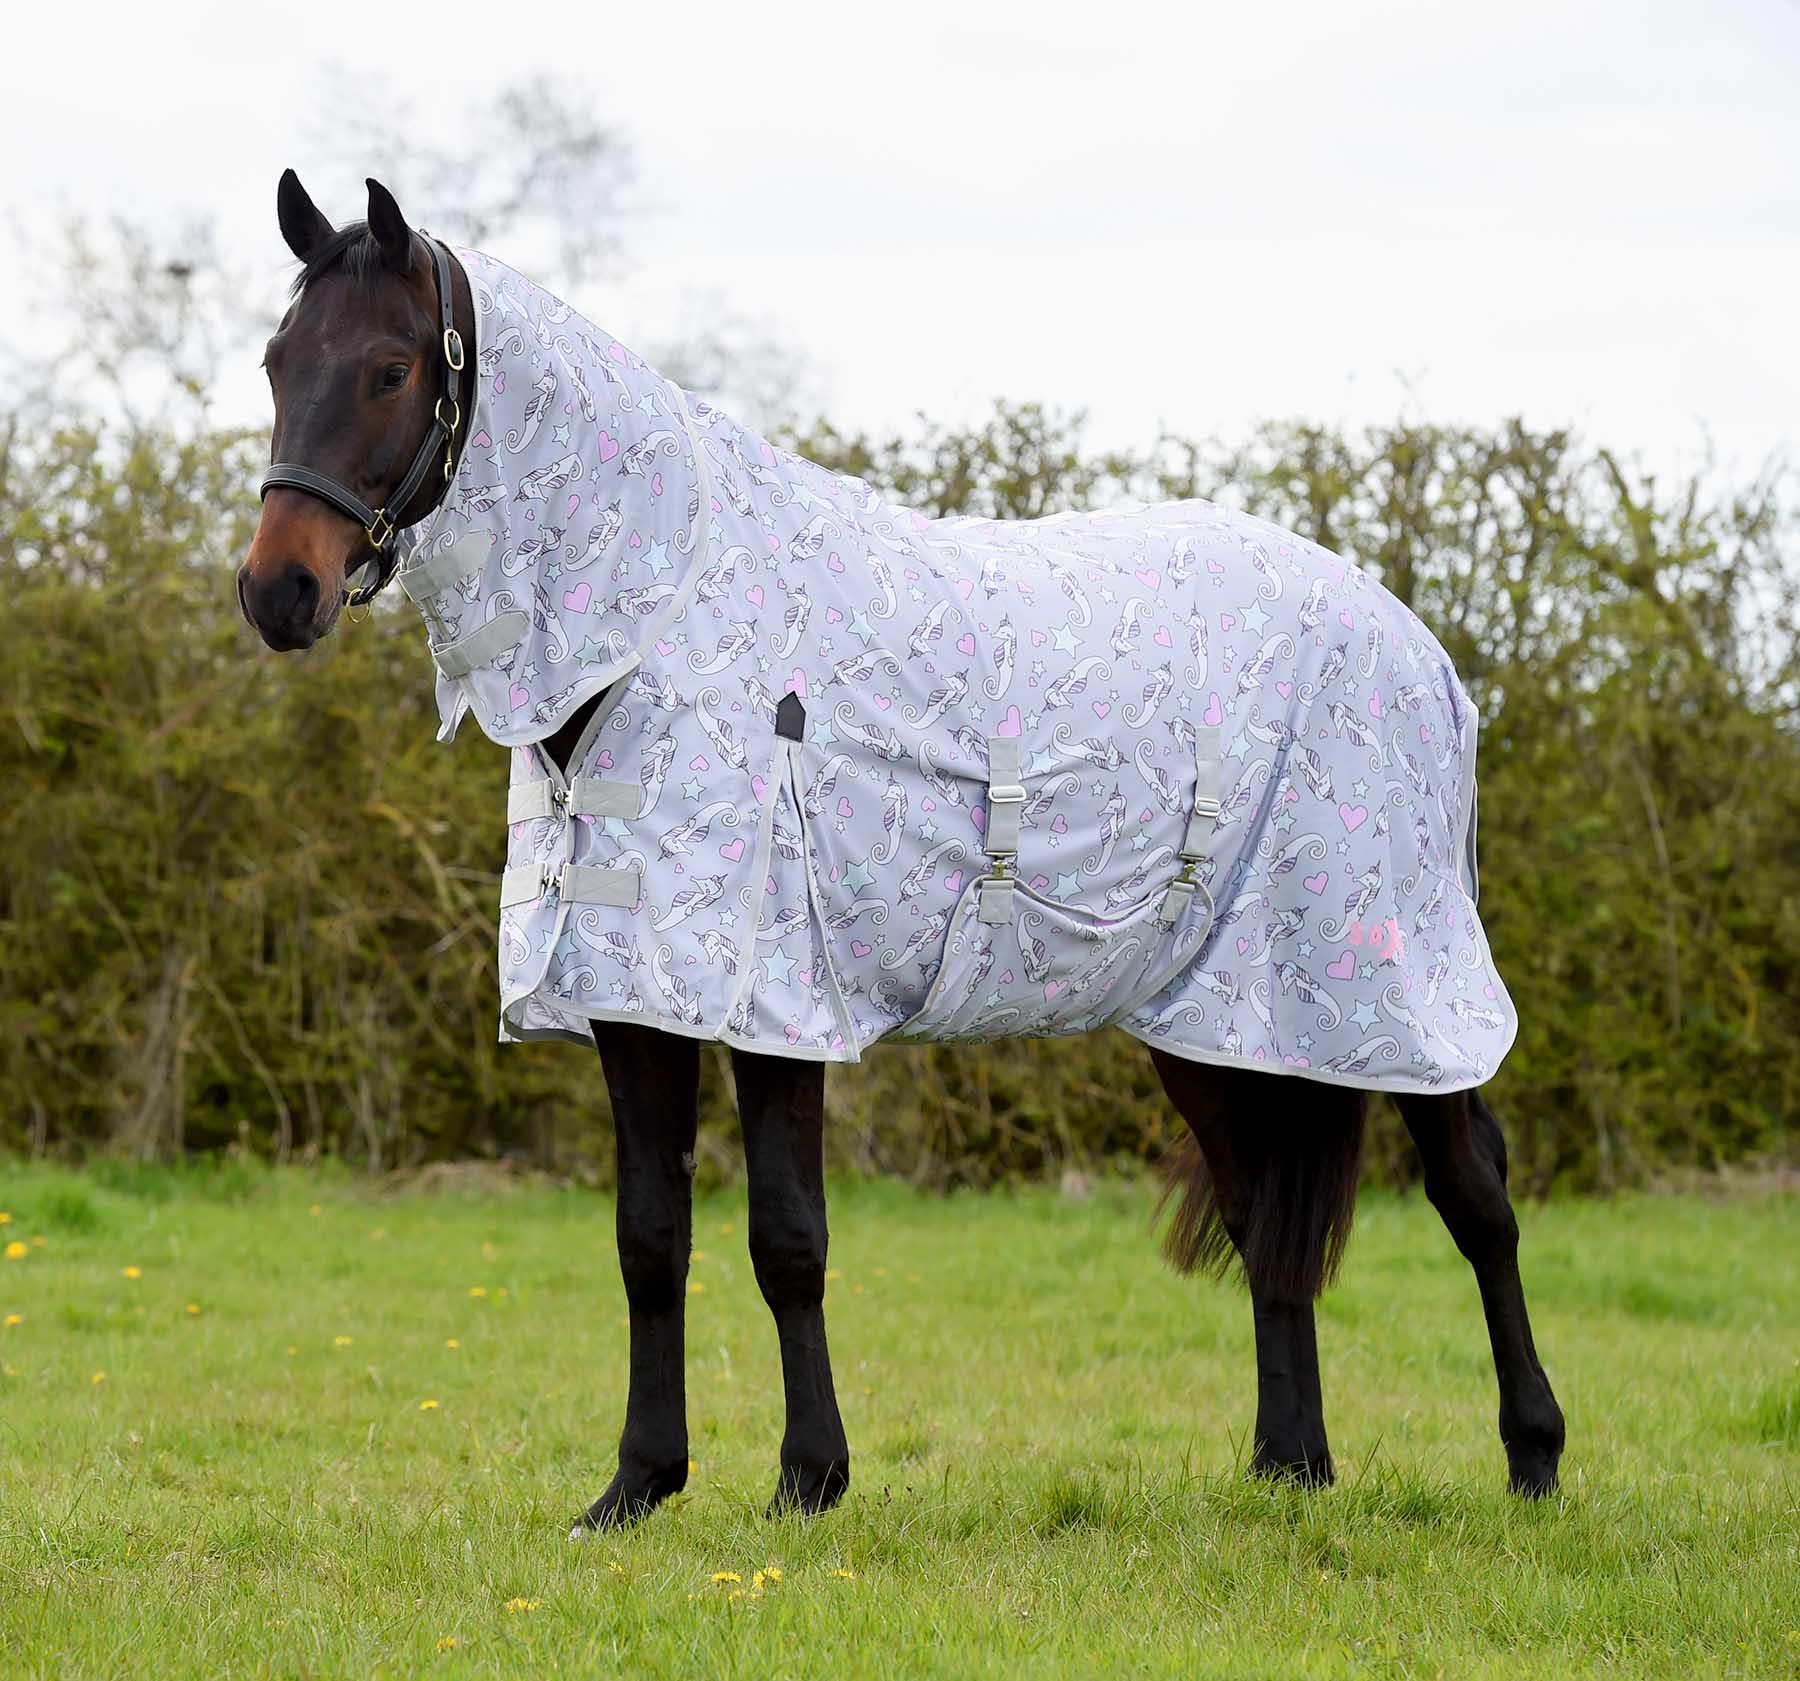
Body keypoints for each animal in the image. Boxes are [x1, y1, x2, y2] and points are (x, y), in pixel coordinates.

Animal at [239, 171, 1565, 1534]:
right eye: (279, 360)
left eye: (391, 368)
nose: (278, 593)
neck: (657, 629)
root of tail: (1422, 648)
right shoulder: (634, 993)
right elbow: (650, 1237)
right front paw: (637, 1484)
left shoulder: (775, 1002)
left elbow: (787, 1237)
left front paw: (808, 1478)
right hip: (1219, 1013)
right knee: (1265, 1217)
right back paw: (1289, 1466)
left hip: (1391, 987)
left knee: (1478, 1195)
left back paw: (1532, 1460)